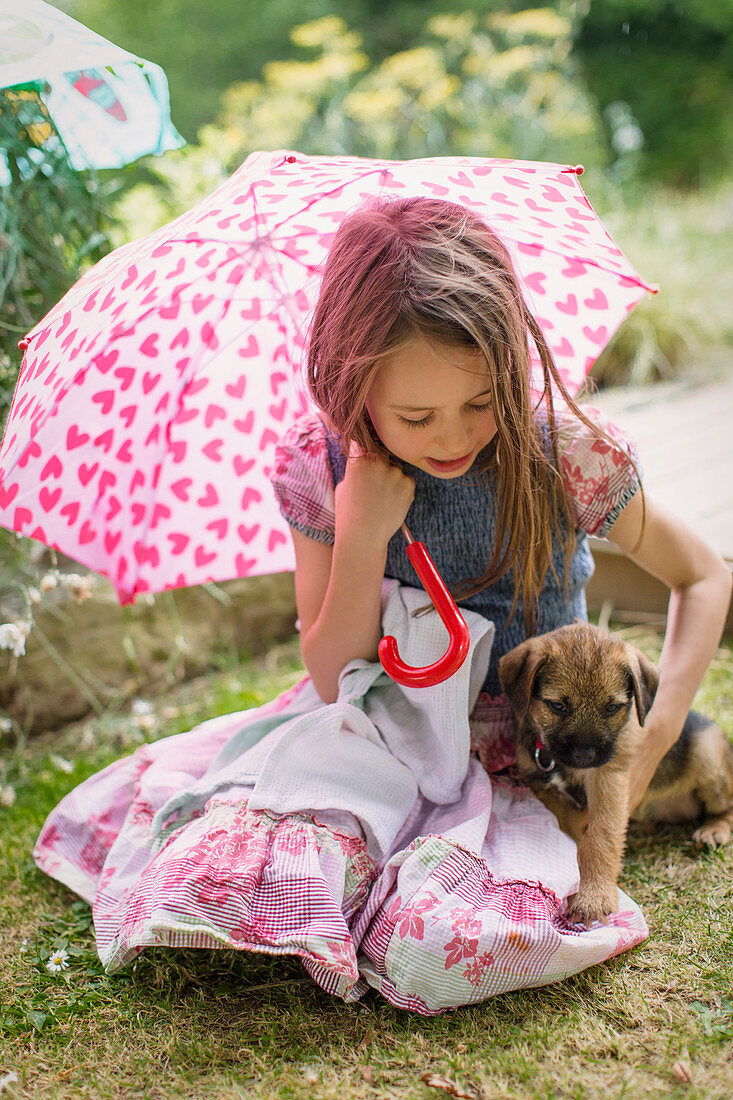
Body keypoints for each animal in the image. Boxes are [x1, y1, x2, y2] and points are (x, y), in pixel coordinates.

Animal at [497, 624, 730, 924]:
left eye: (611, 707)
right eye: (558, 706)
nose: (584, 756)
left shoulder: (608, 779)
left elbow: (601, 836)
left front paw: (594, 895)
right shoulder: (545, 790)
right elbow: (573, 837)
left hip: (708, 755)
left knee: (725, 808)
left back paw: (713, 830)